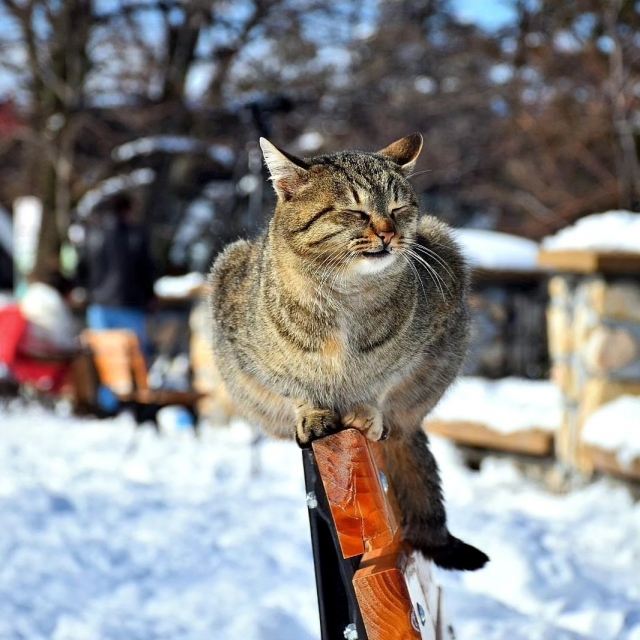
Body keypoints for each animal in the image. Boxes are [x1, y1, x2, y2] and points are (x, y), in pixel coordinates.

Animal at [208, 134, 488, 568]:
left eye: (398, 208)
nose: (388, 232)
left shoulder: (418, 350)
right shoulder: (253, 356)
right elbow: (296, 386)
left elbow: (381, 383)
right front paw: (312, 413)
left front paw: (366, 411)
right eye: (354, 210)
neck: (346, 295)